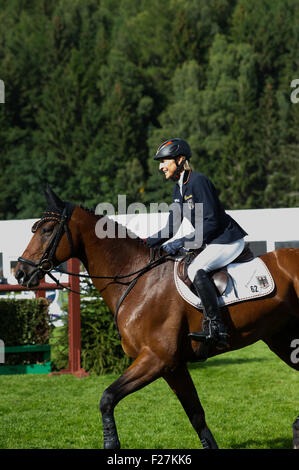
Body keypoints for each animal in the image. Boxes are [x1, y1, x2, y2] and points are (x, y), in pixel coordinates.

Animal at [15, 187, 298, 448]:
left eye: (47, 230)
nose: (20, 272)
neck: (136, 279)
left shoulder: (156, 358)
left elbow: (107, 398)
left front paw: (111, 444)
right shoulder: (173, 366)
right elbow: (196, 415)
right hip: (281, 338)